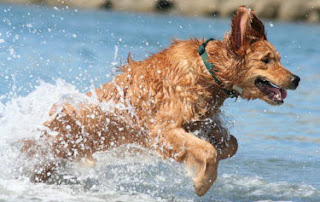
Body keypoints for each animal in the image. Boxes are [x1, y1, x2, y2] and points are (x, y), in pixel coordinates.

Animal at [20, 5, 300, 196]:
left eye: (279, 58)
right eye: (266, 60)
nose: (296, 79)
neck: (207, 70)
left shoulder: (204, 121)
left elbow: (231, 144)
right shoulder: (163, 129)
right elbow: (207, 151)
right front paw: (201, 182)